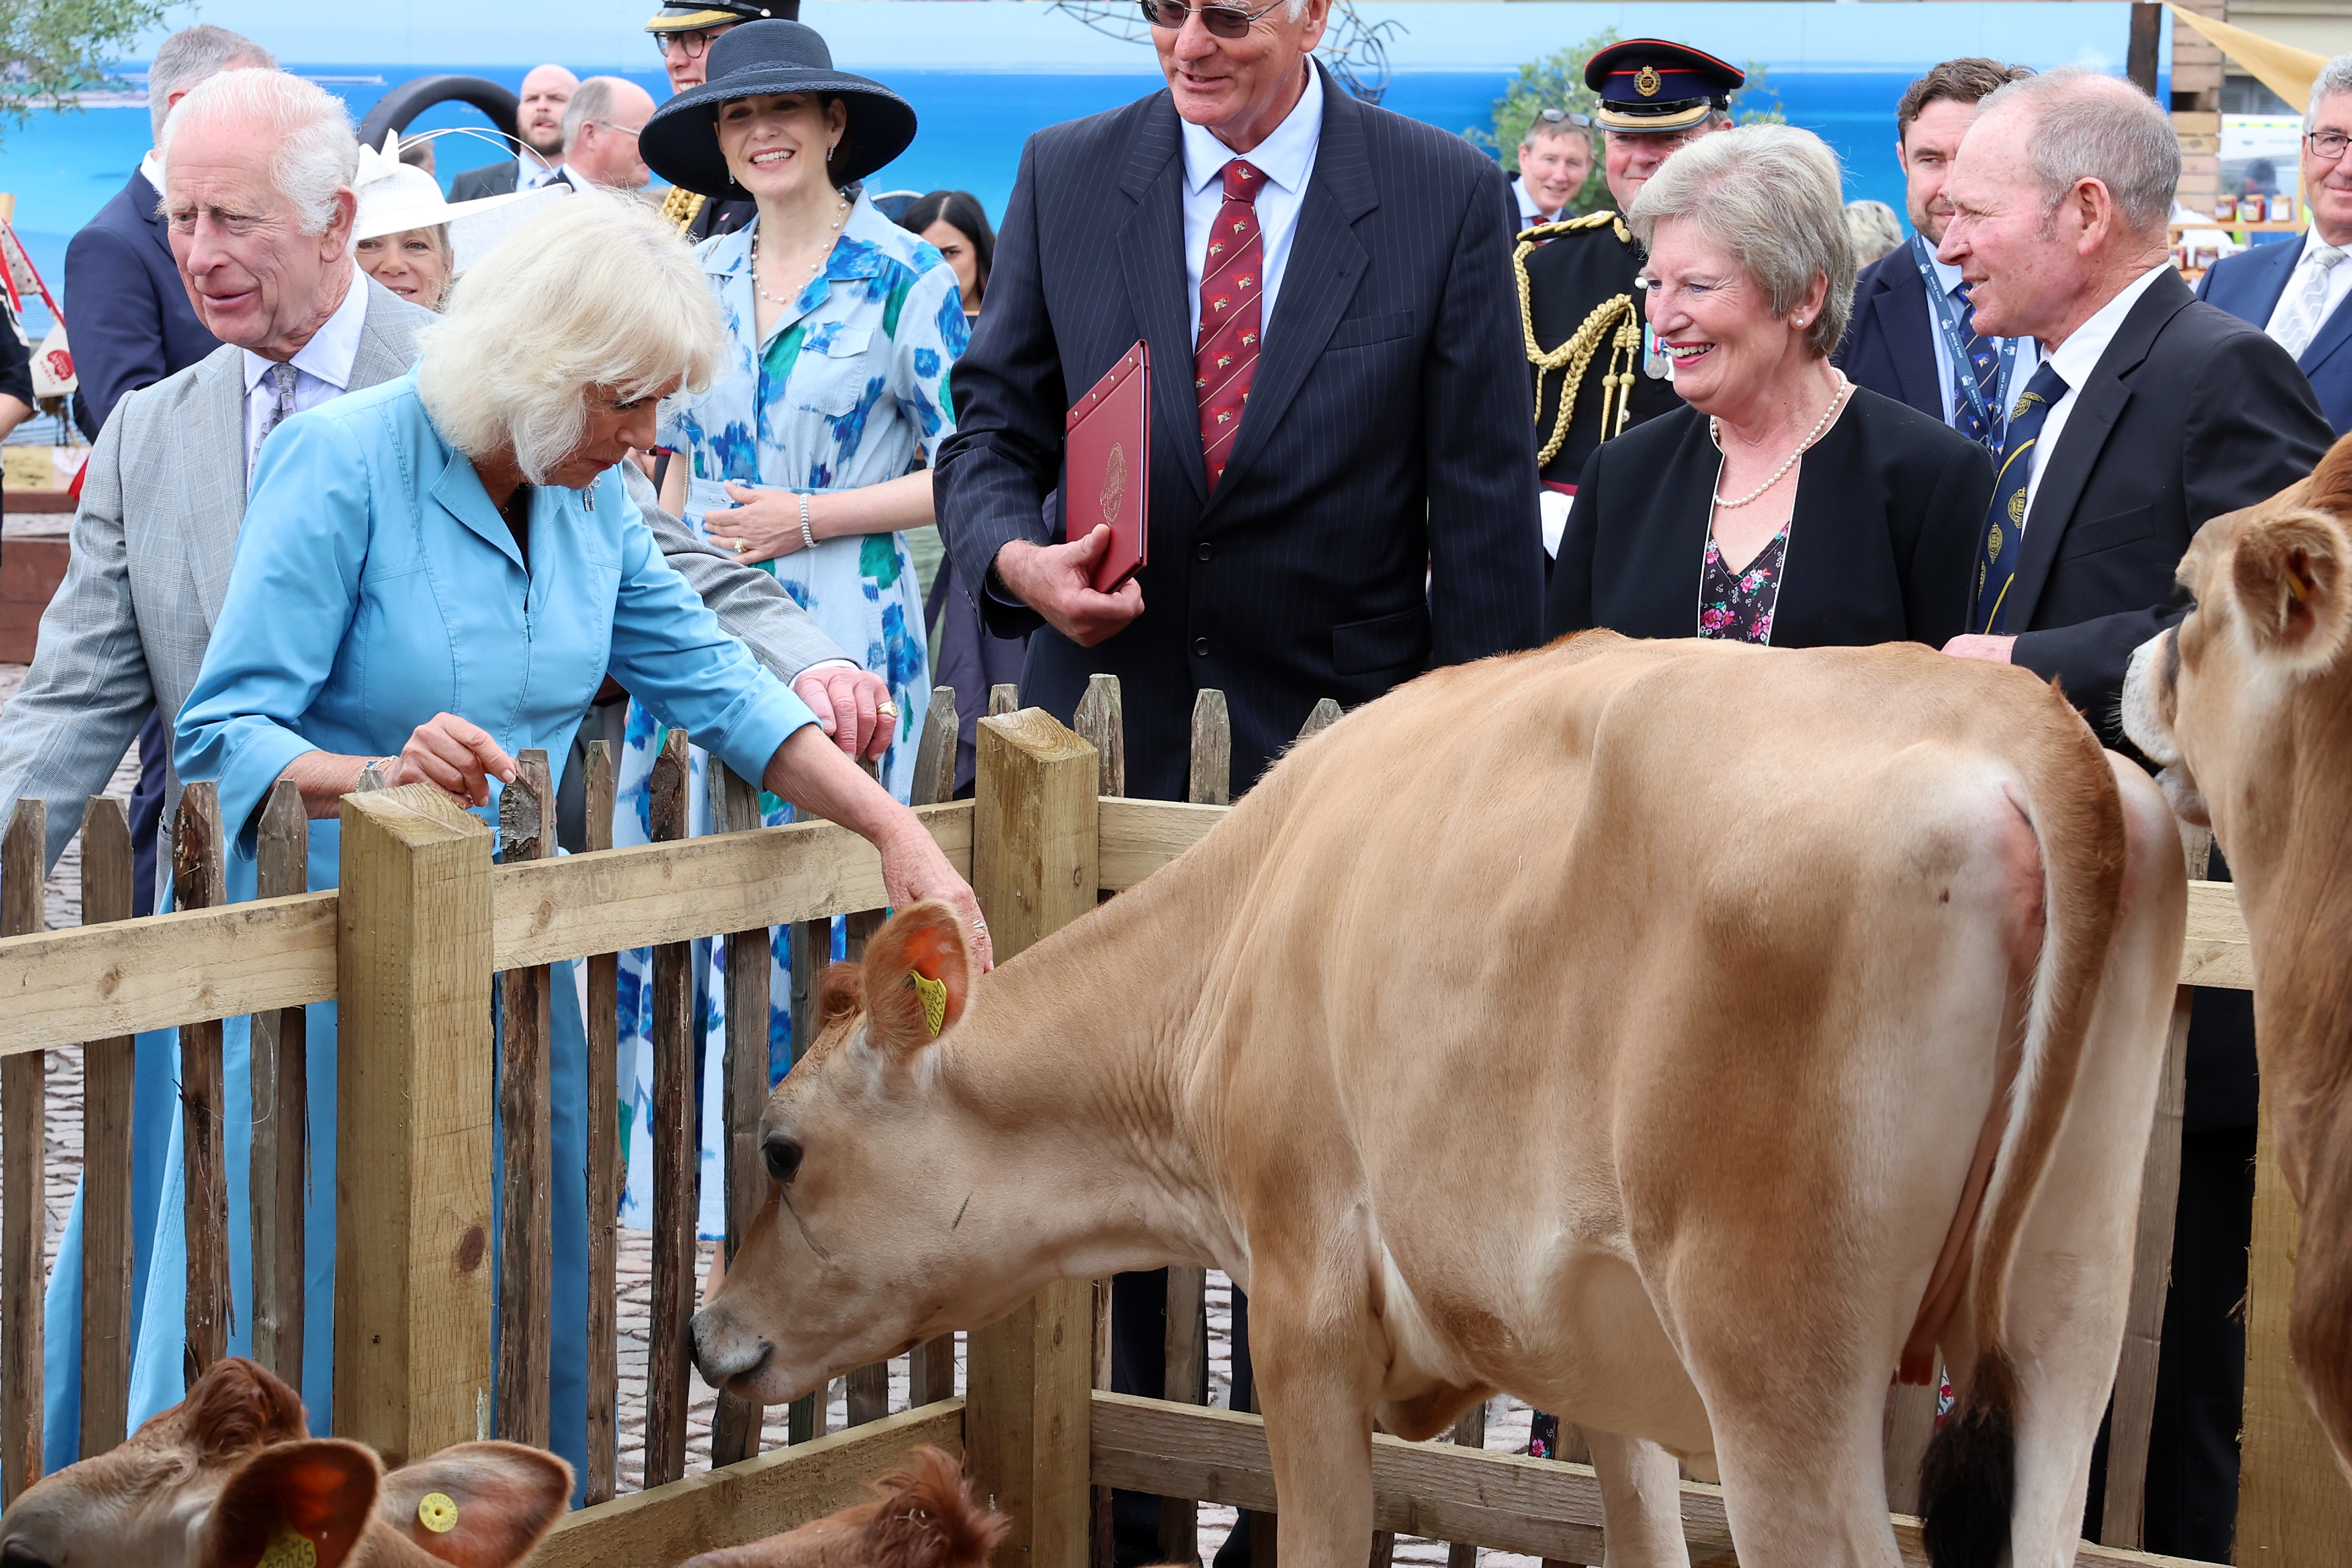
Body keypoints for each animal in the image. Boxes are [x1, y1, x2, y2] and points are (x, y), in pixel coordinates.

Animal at [691, 630, 2183, 1568]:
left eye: (782, 1147)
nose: (710, 1334)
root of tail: (2024, 724)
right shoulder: (1594, 1349)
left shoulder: (1302, 1306)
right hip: (2066, 1323)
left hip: (1779, 1363)